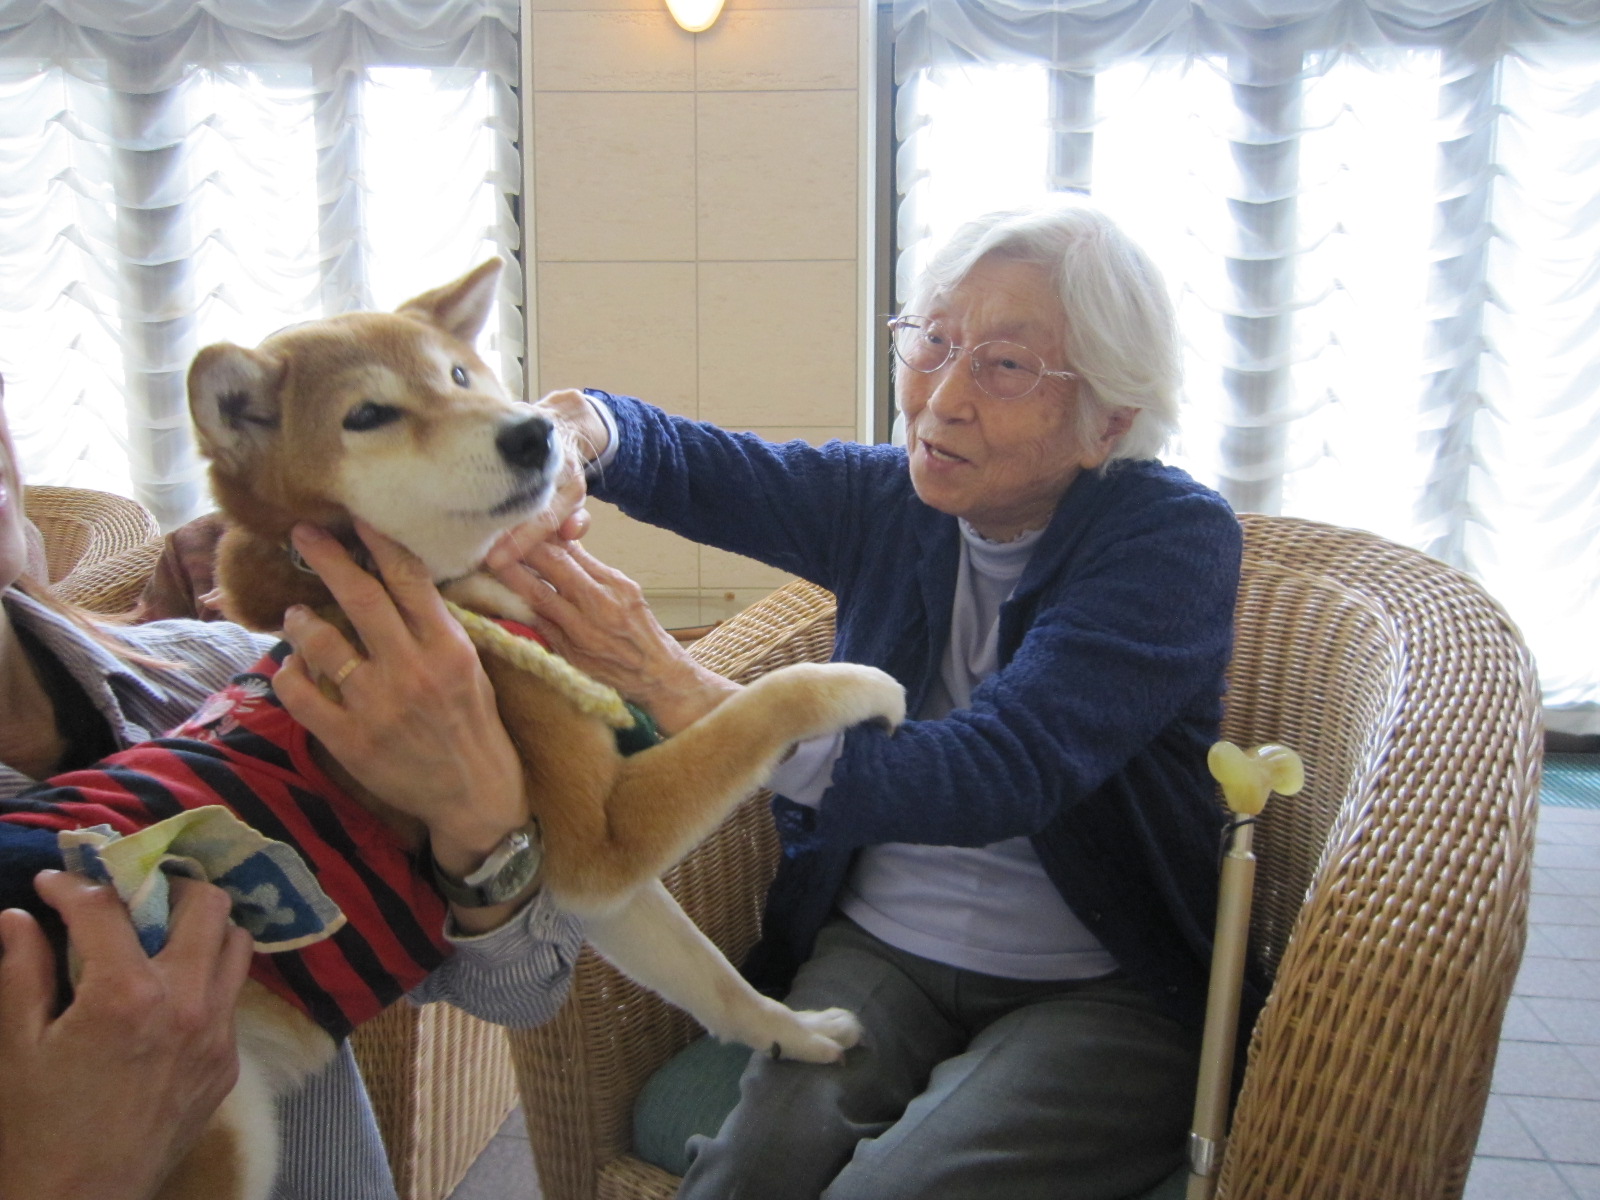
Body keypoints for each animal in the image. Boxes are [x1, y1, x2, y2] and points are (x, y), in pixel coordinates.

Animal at [139, 259, 906, 1198]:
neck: (434, 591)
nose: (537, 432)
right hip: (224, 1132)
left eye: (460, 375)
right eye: (368, 414)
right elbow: (769, 700)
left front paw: (793, 1034)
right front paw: (860, 684)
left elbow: (711, 977)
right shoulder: (600, 834)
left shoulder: (588, 880)